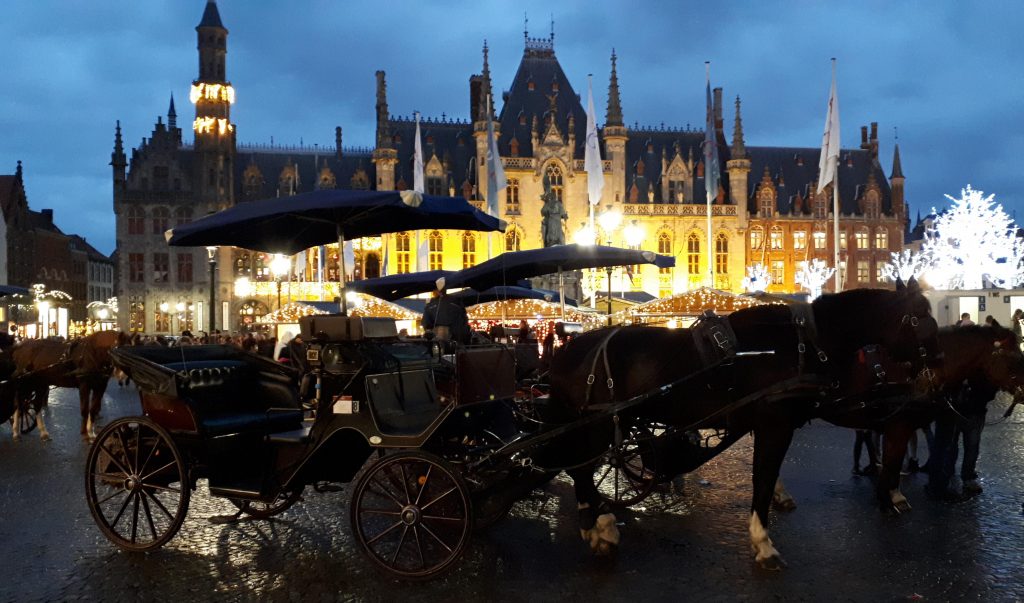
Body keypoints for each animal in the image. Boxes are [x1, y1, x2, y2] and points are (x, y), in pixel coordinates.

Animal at [544, 280, 942, 565]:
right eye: (920, 318)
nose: (937, 370)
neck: (800, 345)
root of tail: (567, 351)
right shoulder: (774, 424)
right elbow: (763, 479)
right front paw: (763, 542)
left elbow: (766, 477)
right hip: (596, 425)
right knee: (582, 470)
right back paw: (600, 528)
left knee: (582, 469)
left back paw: (596, 523)